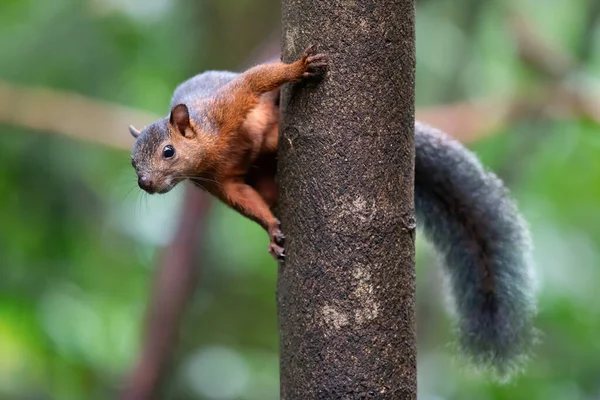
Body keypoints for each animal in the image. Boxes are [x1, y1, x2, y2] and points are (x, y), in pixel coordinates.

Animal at [129, 45, 536, 376]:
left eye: (168, 152)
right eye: (133, 162)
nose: (144, 183)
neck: (208, 148)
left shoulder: (225, 106)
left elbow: (256, 80)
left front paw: (298, 68)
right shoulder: (218, 182)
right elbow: (244, 200)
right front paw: (272, 230)